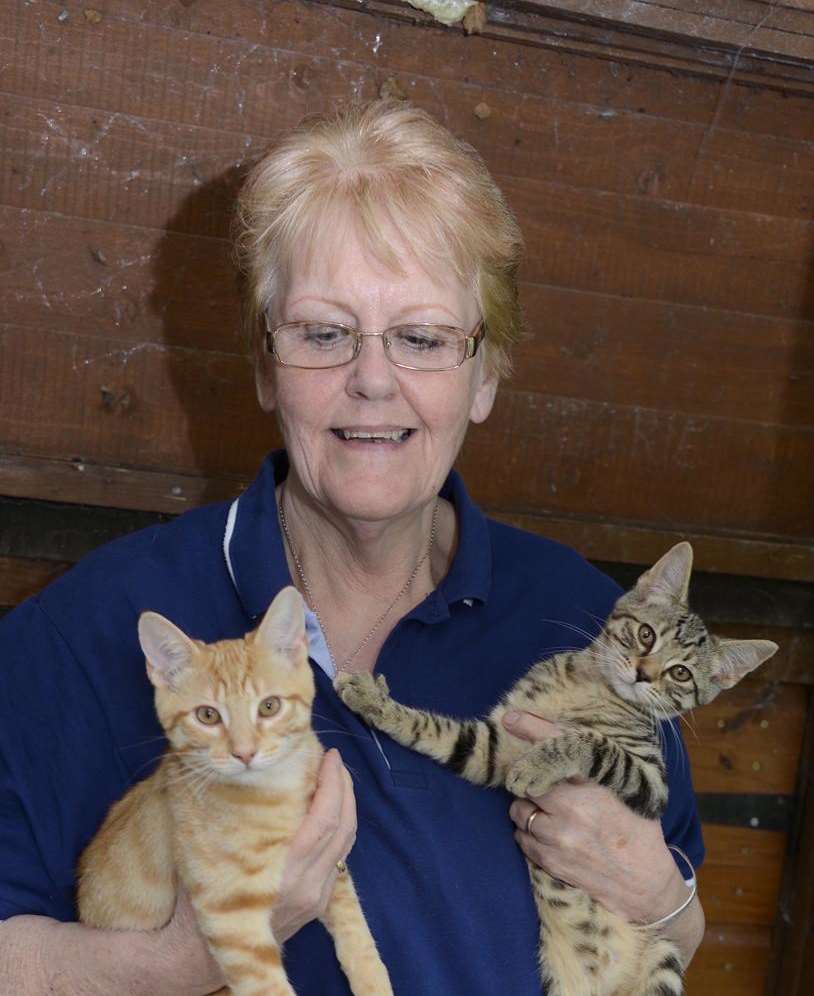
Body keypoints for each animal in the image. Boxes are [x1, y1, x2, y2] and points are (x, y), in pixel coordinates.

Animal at [79, 584, 396, 996]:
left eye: (270, 706)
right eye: (207, 715)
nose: (245, 753)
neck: (274, 790)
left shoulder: (332, 869)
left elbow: (354, 926)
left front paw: (373, 980)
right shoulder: (231, 916)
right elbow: (267, 987)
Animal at [336, 544, 776, 996]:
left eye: (681, 673)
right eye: (646, 635)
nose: (643, 674)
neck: (590, 687)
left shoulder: (651, 782)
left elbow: (592, 743)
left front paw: (539, 764)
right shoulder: (496, 744)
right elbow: (435, 730)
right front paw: (377, 704)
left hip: (664, 962)